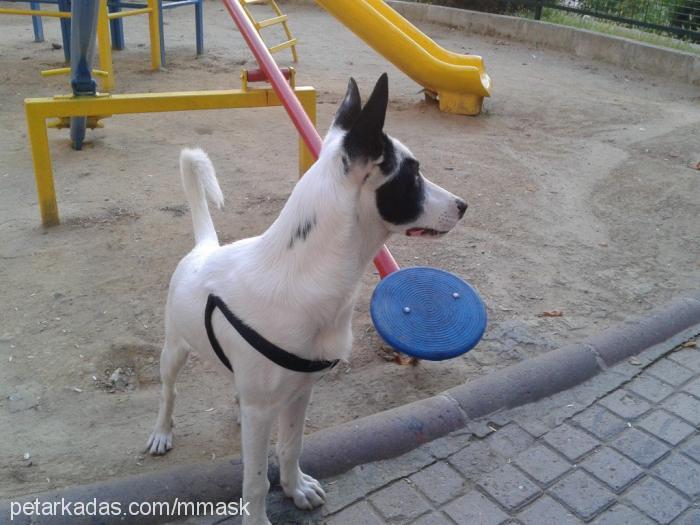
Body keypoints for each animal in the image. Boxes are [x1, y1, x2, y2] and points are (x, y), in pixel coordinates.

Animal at [145, 74, 468, 524]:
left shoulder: (300, 392)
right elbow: (254, 480)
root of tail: (205, 247)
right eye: (414, 174)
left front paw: (295, 488)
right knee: (168, 392)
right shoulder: (263, 410)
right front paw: (258, 517)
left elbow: (292, 445)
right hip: (173, 350)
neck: (299, 274)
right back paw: (161, 431)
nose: (463, 205)